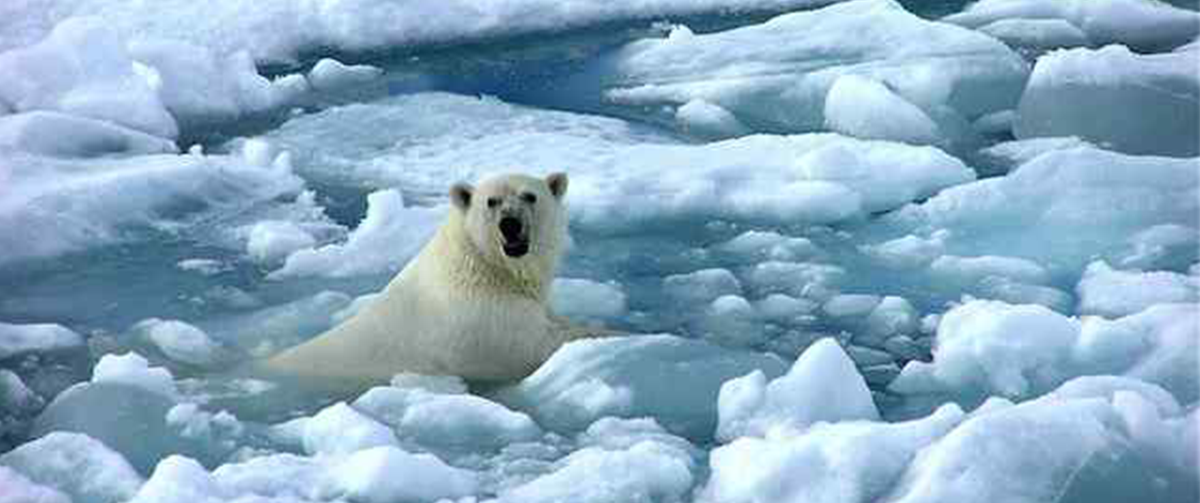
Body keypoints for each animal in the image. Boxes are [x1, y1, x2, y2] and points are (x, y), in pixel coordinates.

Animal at [264, 174, 600, 386]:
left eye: (530, 196)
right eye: (491, 201)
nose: (510, 224)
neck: (485, 267)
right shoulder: (484, 320)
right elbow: (537, 345)